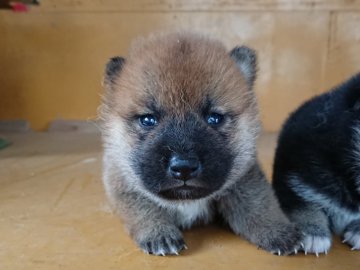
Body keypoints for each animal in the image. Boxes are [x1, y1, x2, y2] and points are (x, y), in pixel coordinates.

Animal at [100, 31, 302, 255]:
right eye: (148, 120)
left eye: (214, 118)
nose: (184, 167)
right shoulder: (122, 182)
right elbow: (144, 208)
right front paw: (159, 233)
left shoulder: (245, 177)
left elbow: (258, 204)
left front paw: (277, 231)